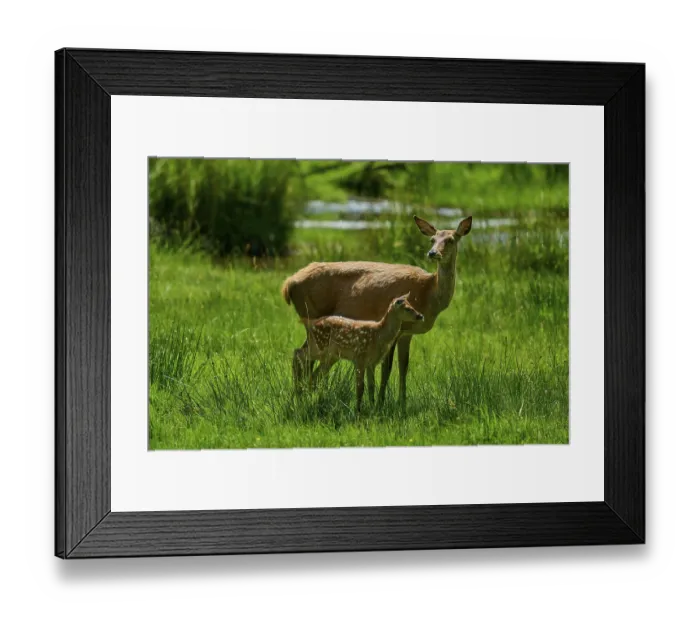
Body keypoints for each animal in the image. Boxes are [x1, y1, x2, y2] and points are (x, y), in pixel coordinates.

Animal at [282, 214, 473, 408]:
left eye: (451, 240)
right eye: (432, 239)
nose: (433, 253)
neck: (428, 293)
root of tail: (288, 284)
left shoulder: (407, 333)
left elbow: (404, 366)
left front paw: (402, 402)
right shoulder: (394, 331)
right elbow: (387, 368)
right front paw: (381, 402)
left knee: (307, 359)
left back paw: (304, 395)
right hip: (311, 313)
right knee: (302, 357)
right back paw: (301, 396)